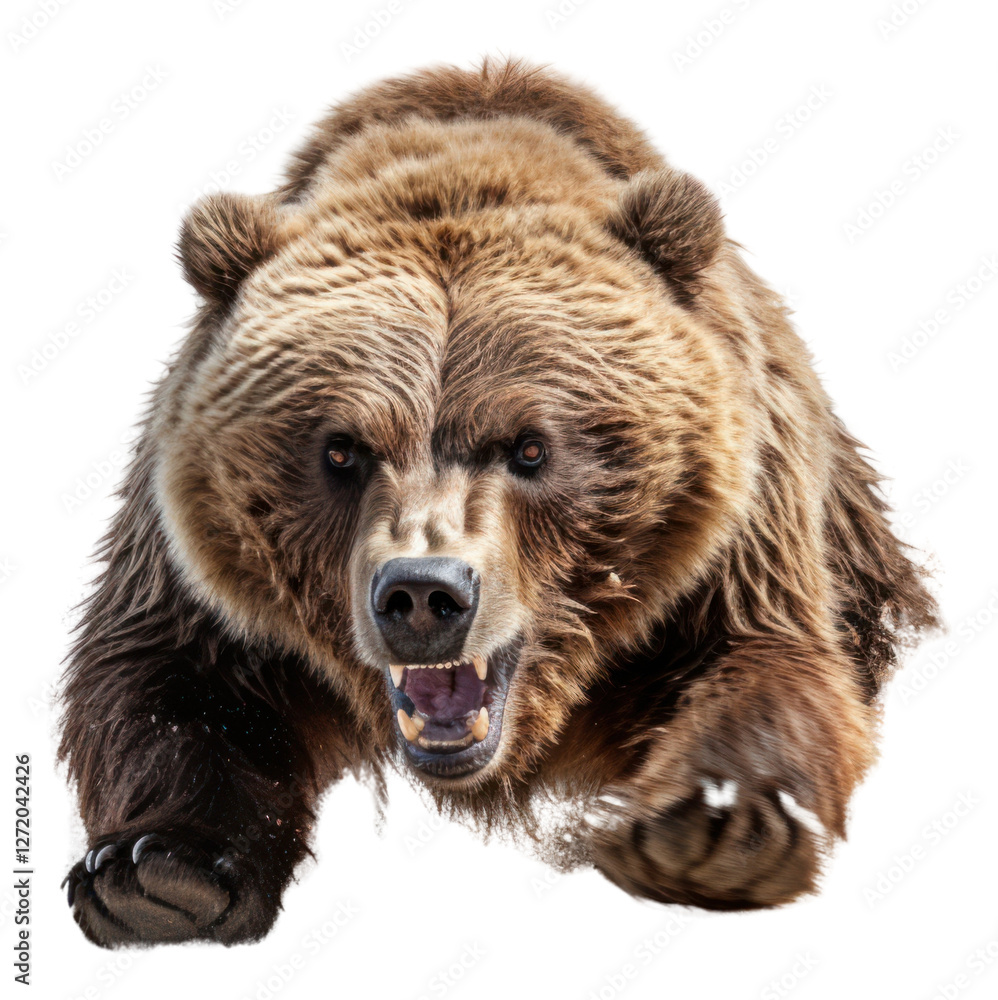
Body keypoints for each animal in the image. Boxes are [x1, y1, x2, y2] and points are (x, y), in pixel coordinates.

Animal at [59, 57, 938, 947]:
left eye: (530, 447)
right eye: (340, 448)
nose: (423, 594)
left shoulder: (737, 530)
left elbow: (765, 662)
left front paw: (714, 826)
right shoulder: (185, 551)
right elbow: (164, 676)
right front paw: (158, 868)